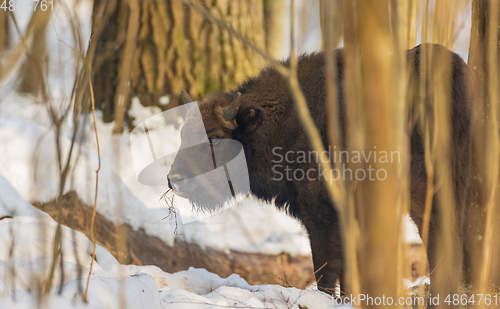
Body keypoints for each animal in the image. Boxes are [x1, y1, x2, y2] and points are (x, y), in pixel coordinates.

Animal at [167, 42, 472, 294]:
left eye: (215, 137)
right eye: (183, 133)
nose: (174, 179)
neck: (286, 119)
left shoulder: (320, 210)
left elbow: (324, 266)